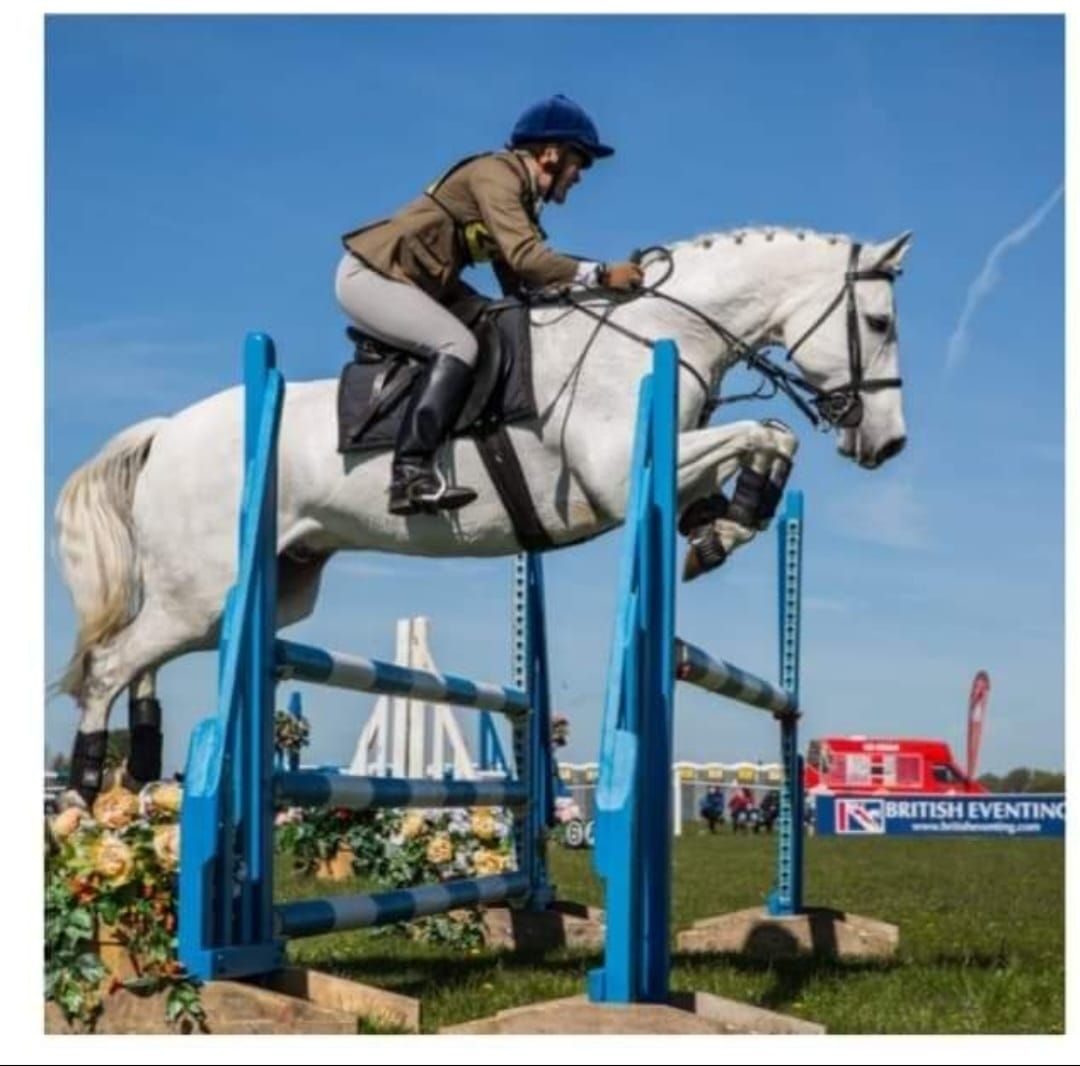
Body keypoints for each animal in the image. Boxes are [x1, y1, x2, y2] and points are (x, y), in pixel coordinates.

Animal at [52, 226, 911, 807]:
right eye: (879, 325)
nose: (889, 443)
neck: (656, 335)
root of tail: (167, 432)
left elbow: (763, 444)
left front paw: (722, 530)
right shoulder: (613, 471)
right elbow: (767, 430)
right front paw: (733, 522)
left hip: (257, 590)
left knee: (152, 663)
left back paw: (137, 773)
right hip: (202, 590)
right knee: (109, 666)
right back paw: (89, 787)